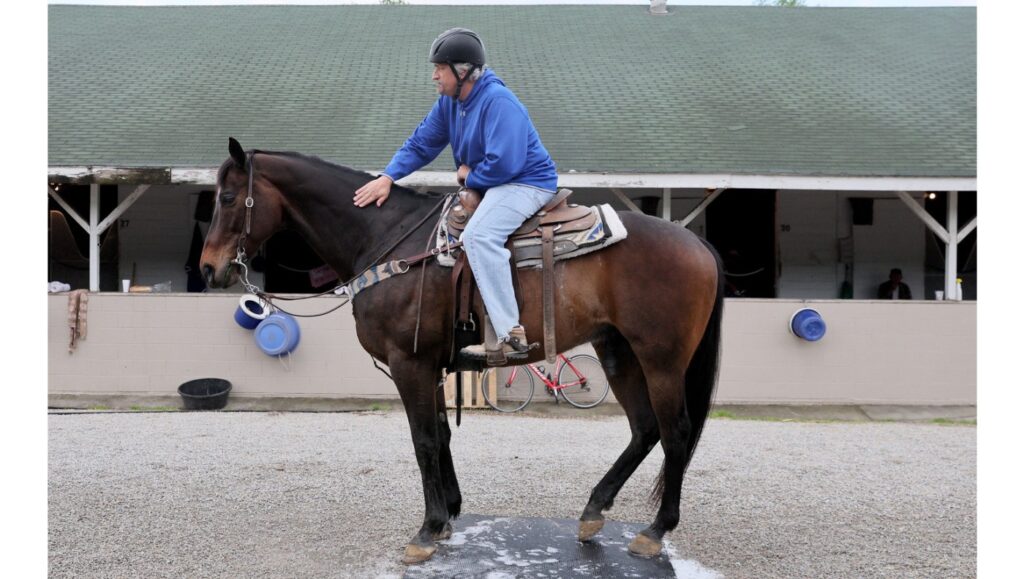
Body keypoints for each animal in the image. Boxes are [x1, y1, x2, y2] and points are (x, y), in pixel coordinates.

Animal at [199, 137, 724, 561]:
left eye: (227, 197)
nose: (207, 268)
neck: (388, 241)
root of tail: (696, 242)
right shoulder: (429, 365)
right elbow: (441, 434)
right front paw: (448, 514)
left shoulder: (409, 362)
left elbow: (425, 440)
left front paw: (427, 529)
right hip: (618, 352)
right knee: (644, 429)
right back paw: (594, 510)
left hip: (661, 359)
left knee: (675, 432)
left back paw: (655, 531)